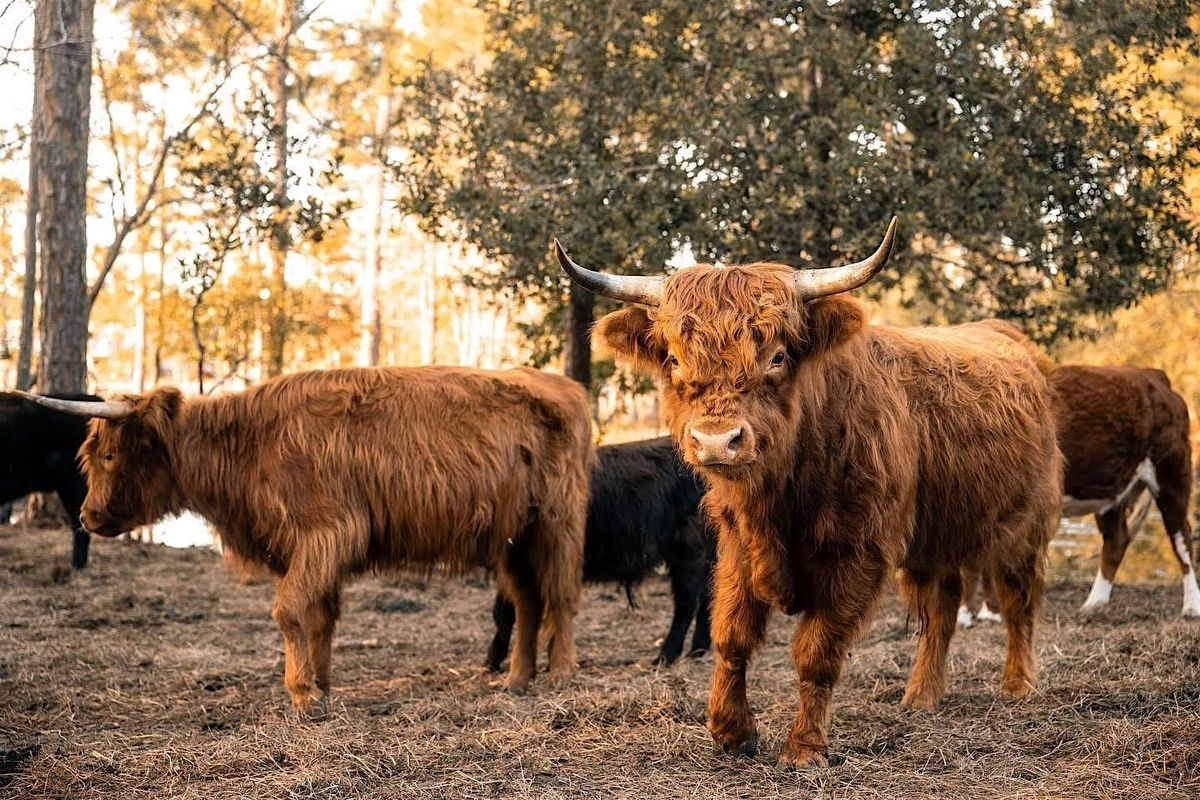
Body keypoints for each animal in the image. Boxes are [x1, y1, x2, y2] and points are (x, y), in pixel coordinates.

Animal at [487, 434, 710, 666]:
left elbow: (504, 610)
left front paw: (493, 660)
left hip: (690, 549)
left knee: (687, 601)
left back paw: (665, 656)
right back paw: (697, 650)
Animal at [556, 220, 1065, 767]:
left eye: (777, 356)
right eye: (673, 358)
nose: (716, 440)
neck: (782, 491)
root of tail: (1013, 341)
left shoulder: (858, 552)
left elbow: (816, 652)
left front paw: (803, 748)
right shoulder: (736, 546)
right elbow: (730, 635)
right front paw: (731, 732)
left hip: (1024, 528)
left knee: (1018, 602)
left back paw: (1017, 685)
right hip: (937, 537)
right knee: (941, 611)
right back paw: (921, 696)